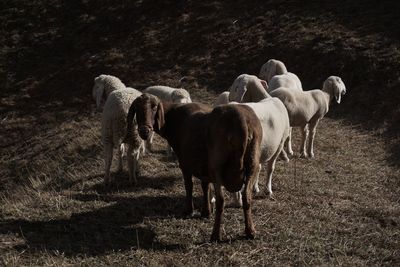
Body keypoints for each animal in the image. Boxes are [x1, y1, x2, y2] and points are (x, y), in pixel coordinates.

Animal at [124, 94, 262, 243]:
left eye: (154, 107)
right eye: (136, 109)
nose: (144, 131)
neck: (172, 118)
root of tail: (241, 123)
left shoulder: (185, 163)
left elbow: (189, 186)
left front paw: (189, 211)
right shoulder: (204, 166)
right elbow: (205, 186)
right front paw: (206, 212)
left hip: (217, 165)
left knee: (221, 201)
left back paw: (215, 235)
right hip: (252, 164)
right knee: (247, 197)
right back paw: (250, 232)